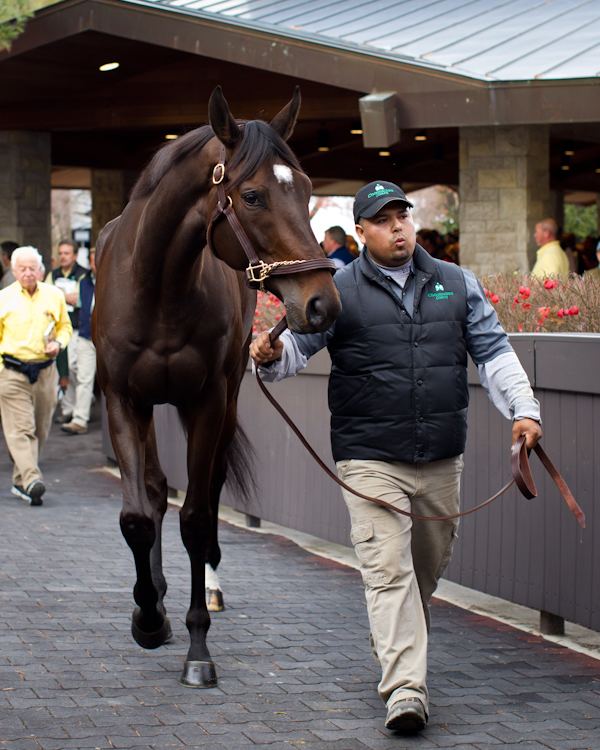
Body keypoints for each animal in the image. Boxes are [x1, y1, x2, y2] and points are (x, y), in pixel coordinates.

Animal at [91, 86, 340, 688]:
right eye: (251, 195)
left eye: (306, 189)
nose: (321, 302)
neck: (159, 286)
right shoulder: (123, 400)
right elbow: (138, 514)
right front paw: (149, 618)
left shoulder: (206, 401)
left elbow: (199, 518)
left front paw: (196, 646)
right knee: (156, 491)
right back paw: (155, 592)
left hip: (222, 399)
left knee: (209, 490)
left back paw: (208, 589)